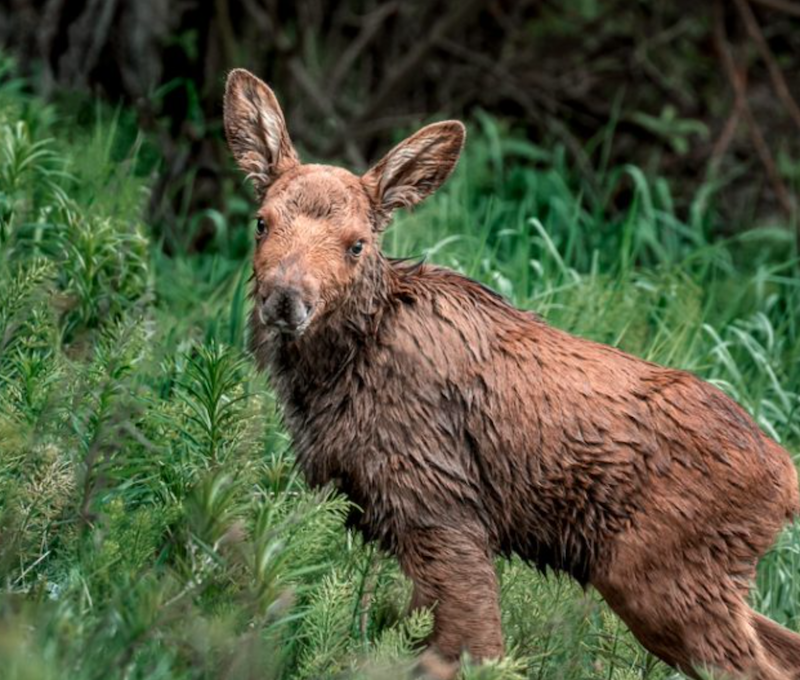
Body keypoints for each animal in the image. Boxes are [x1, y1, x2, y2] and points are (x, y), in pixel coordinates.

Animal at [225, 70, 800, 680]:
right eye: (261, 223)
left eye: (357, 243)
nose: (286, 299)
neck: (332, 374)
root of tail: (787, 482)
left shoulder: (440, 506)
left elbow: (470, 649)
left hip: (664, 578)